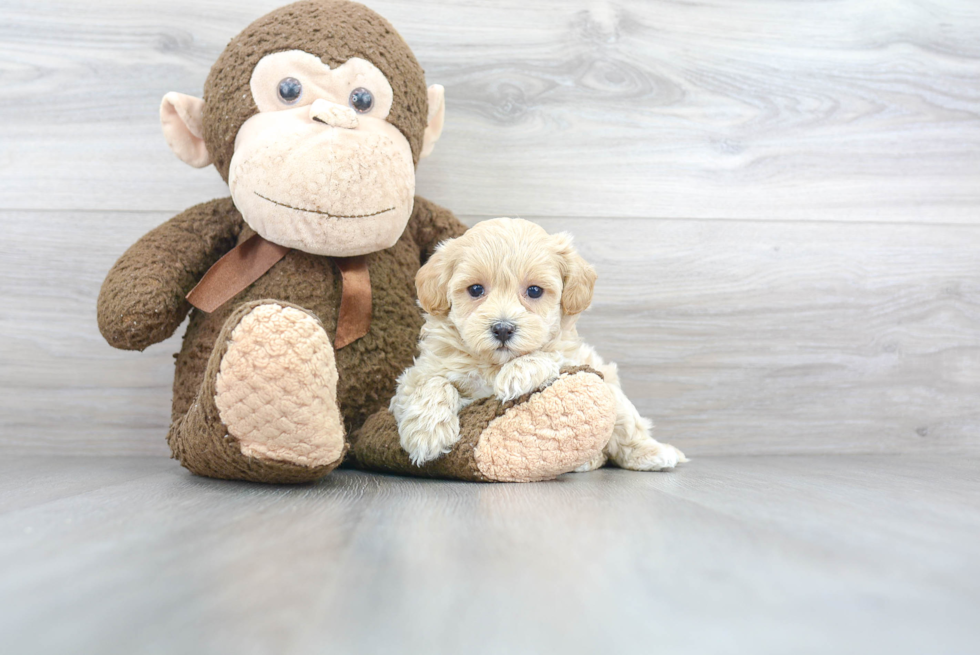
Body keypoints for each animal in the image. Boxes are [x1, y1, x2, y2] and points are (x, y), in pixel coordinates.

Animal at [390, 219, 688, 472]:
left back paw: (654, 453)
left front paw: (519, 372)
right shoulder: (415, 376)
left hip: (614, 393)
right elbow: (433, 383)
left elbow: (550, 354)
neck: (494, 364)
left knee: (627, 430)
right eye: (475, 290)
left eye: (534, 291)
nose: (502, 328)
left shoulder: (573, 356)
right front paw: (427, 434)